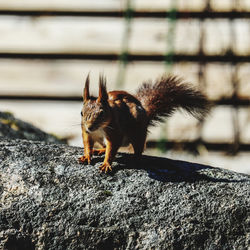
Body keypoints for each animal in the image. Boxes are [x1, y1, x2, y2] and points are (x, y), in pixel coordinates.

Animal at [77, 73, 209, 173]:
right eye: (81, 113)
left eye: (102, 113)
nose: (90, 127)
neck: (99, 129)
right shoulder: (86, 132)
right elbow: (87, 144)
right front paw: (87, 156)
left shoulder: (114, 131)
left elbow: (112, 148)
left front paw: (106, 164)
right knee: (107, 146)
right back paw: (100, 150)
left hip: (137, 132)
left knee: (139, 147)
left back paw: (135, 158)